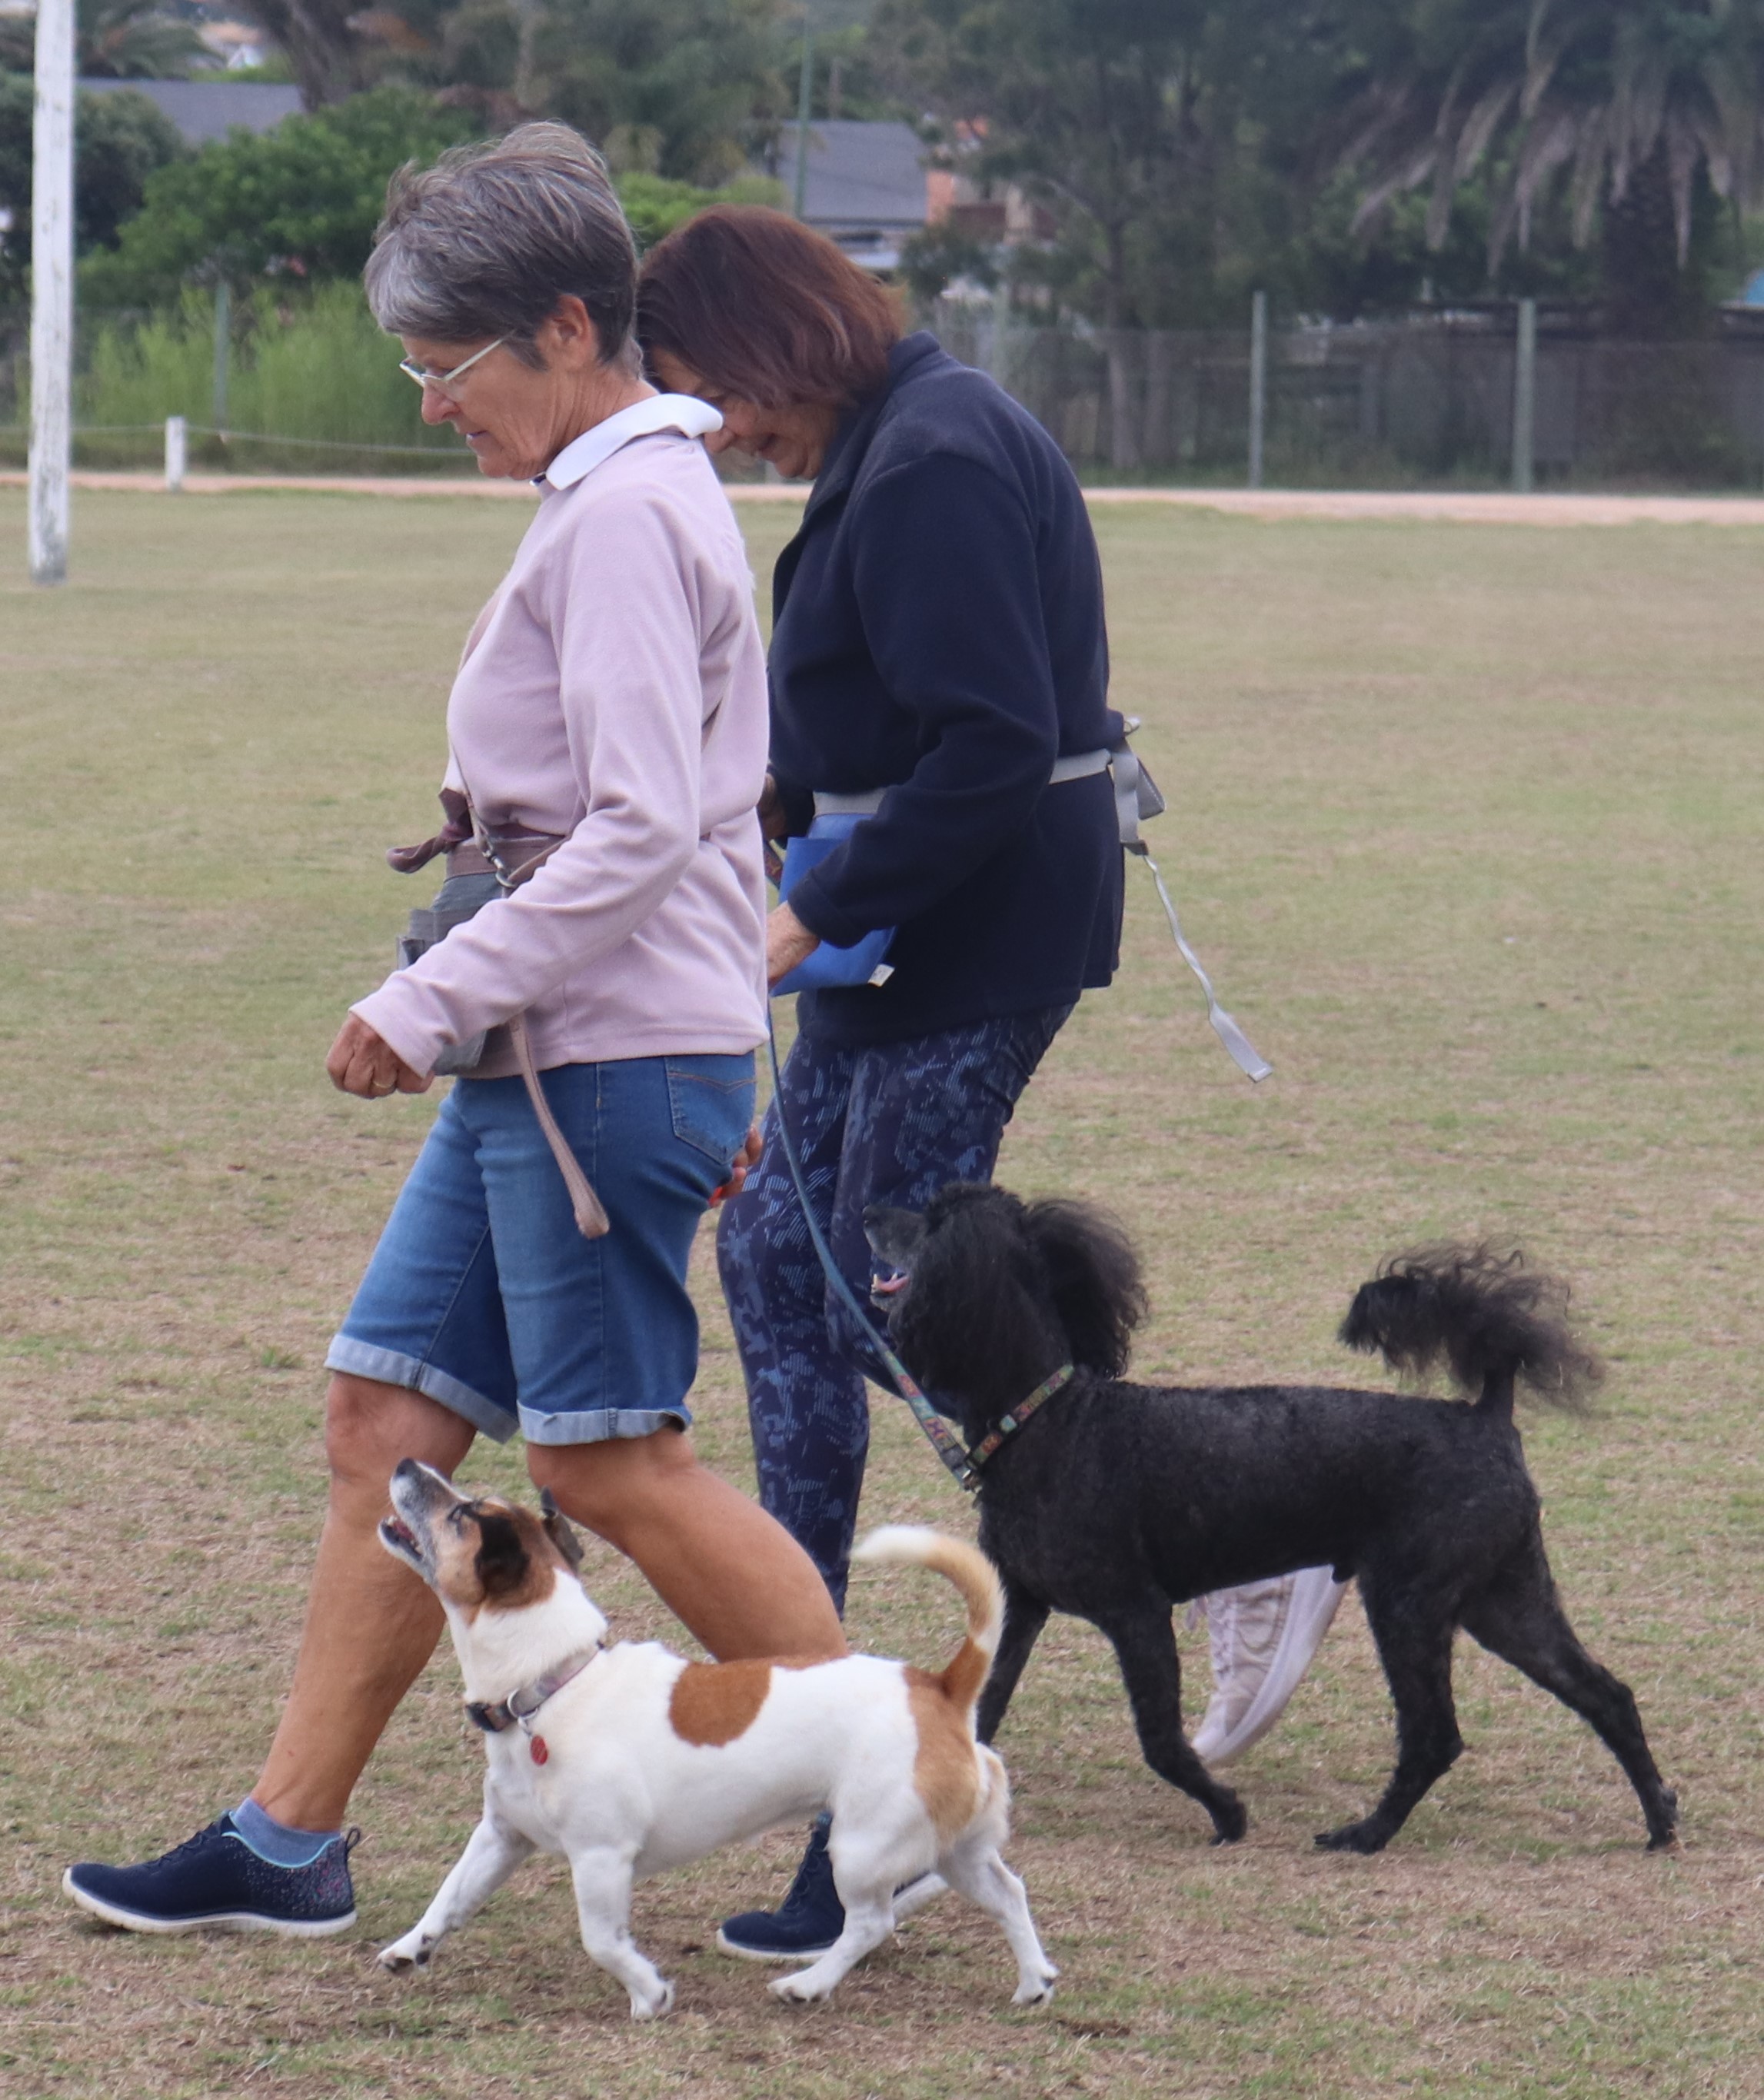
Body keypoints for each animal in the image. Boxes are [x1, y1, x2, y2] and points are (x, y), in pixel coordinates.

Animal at [374, 1459, 1057, 2017]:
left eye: (462, 1513)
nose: (406, 1462)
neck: (550, 1685)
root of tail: (941, 1687)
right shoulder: (501, 1836)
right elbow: (450, 1895)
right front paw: (411, 1946)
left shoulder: (601, 1856)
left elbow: (601, 1940)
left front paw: (649, 1993)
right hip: (955, 1849)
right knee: (1008, 1891)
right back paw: (1034, 1981)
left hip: (862, 1846)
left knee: (871, 1922)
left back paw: (808, 1983)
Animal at [864, 1186, 1678, 1857]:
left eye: (932, 1220)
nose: (868, 1213)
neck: (1048, 1418)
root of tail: (1487, 1412)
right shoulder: (1023, 1604)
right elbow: (983, 1710)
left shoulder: (1136, 1611)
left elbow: (1160, 1740)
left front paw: (1228, 1813)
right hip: (1501, 1598)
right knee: (1605, 1693)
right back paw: (1659, 1819)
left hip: (1410, 1600)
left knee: (1435, 1737)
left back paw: (1366, 1834)